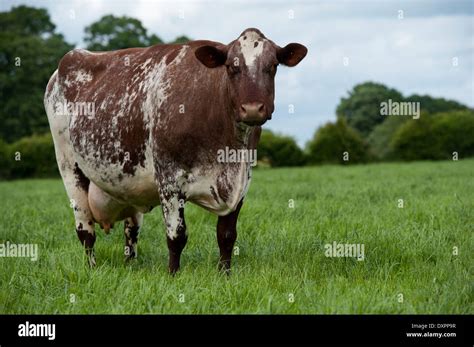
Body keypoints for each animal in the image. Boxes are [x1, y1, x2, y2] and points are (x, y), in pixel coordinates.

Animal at [44, 27, 308, 274]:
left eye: (272, 66)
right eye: (231, 67)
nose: (252, 109)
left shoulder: (241, 183)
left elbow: (226, 235)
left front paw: (225, 274)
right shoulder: (169, 180)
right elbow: (176, 236)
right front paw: (173, 275)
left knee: (131, 232)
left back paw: (130, 265)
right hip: (69, 167)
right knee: (85, 231)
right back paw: (92, 268)